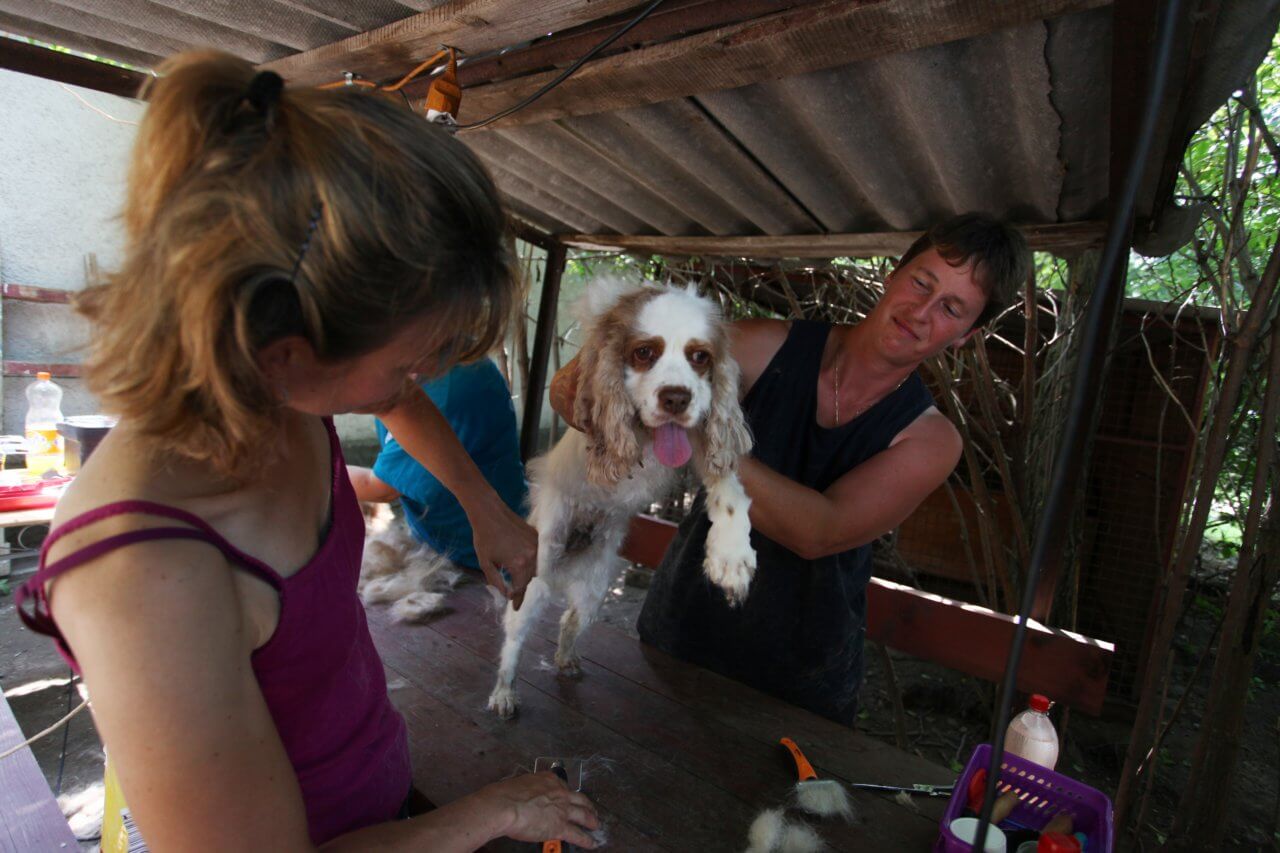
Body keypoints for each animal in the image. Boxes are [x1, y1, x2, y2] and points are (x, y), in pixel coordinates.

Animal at [487, 277, 757, 718]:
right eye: (644, 352)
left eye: (700, 357)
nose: (677, 398)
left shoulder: (702, 441)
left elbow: (728, 488)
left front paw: (731, 558)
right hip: (536, 576)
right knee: (513, 638)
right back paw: (504, 691)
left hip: (596, 588)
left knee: (569, 621)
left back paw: (566, 659)